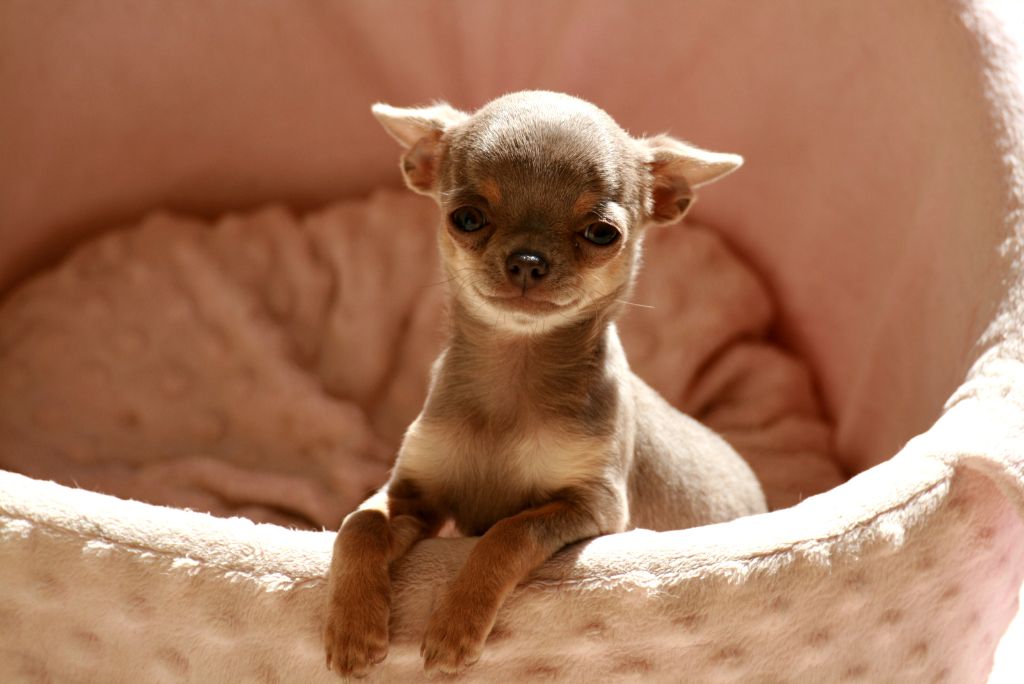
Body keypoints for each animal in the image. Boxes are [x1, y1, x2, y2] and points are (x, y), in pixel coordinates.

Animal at [323, 90, 767, 678]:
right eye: (466, 219)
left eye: (603, 234)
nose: (528, 260)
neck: (513, 374)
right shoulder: (413, 492)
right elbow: (359, 524)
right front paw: (353, 628)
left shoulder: (591, 507)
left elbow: (507, 533)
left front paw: (455, 625)